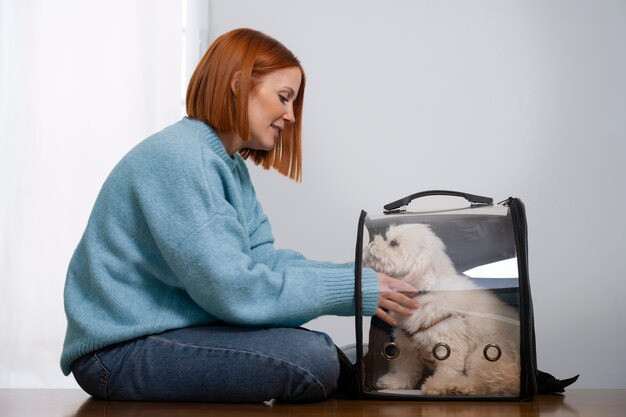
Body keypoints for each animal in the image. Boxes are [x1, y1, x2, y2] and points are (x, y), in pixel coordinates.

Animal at [364, 223, 520, 394]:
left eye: (393, 243)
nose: (371, 240)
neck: (425, 292)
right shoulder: (407, 344)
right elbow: (405, 367)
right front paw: (396, 382)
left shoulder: (449, 342)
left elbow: (447, 370)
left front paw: (438, 384)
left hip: (483, 355)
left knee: (483, 383)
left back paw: (454, 386)